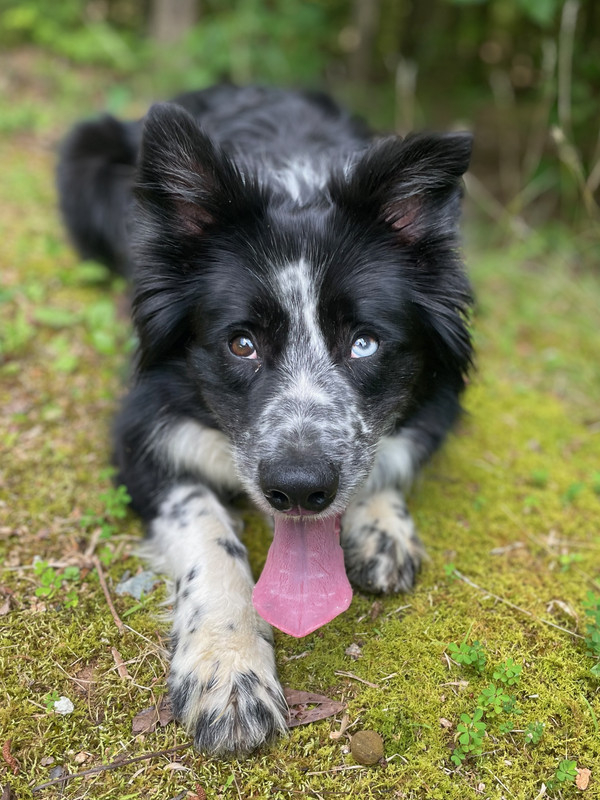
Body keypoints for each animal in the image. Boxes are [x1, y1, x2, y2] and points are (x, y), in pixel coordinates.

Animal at [59, 87, 474, 756]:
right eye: (242, 345)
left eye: (364, 344)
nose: (300, 490)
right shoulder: (139, 433)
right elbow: (208, 531)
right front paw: (229, 673)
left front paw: (382, 525)